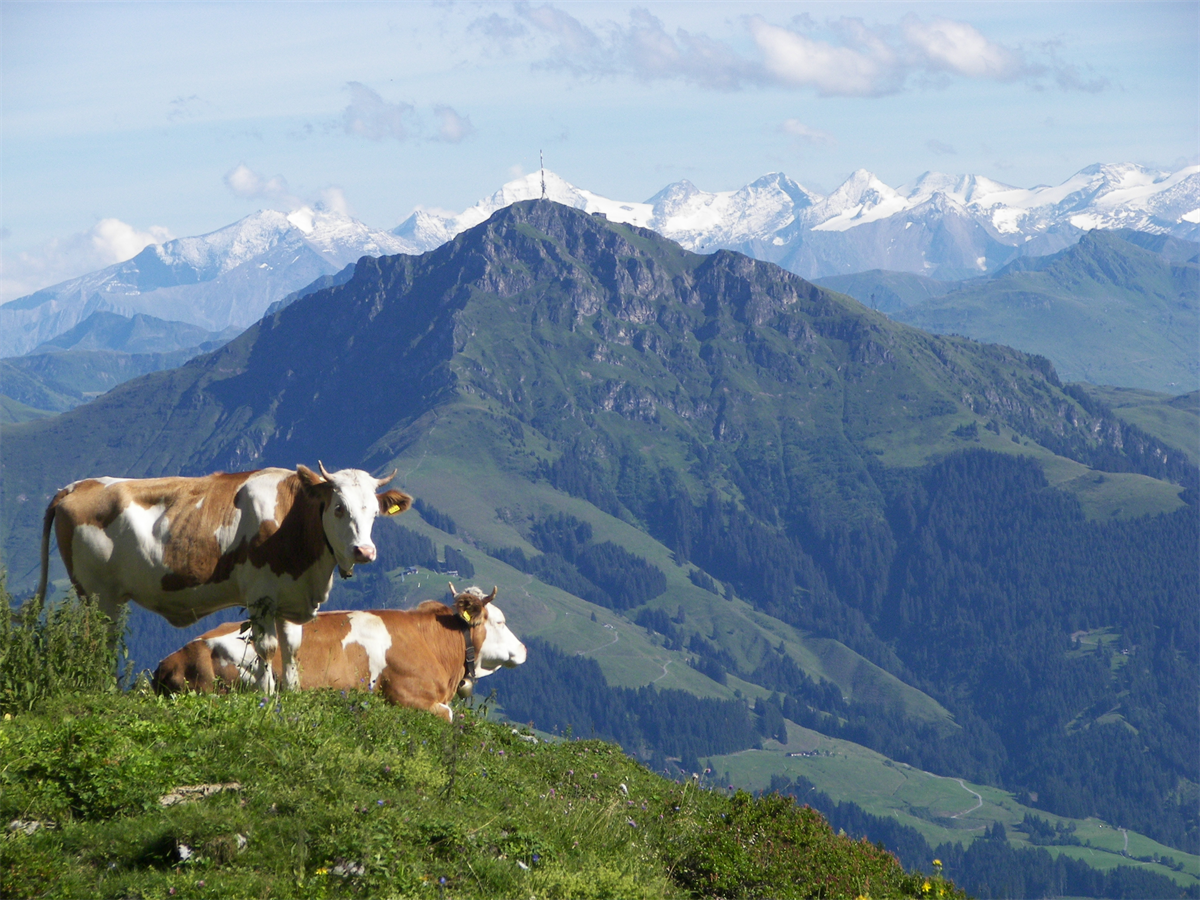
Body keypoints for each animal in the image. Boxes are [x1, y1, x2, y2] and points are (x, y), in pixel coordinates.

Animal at [37, 463, 411, 693]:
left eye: (374, 512)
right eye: (338, 508)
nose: (364, 551)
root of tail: (76, 486)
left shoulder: (290, 596)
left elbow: (291, 649)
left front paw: (292, 694)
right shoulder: (261, 597)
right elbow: (266, 649)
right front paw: (267, 697)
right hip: (98, 595)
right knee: (100, 643)